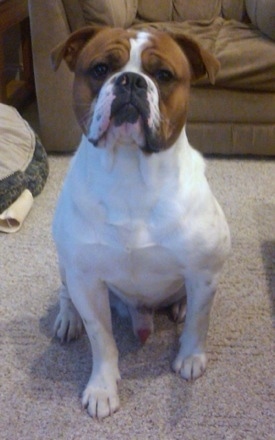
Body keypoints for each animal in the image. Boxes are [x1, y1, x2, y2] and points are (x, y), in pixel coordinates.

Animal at [51, 26, 231, 420]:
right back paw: (68, 318)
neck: (131, 172)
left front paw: (190, 357)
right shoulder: (87, 281)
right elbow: (101, 339)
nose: (131, 81)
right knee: (66, 293)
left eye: (163, 75)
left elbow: (199, 321)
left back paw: (179, 306)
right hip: (65, 264)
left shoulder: (203, 272)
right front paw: (102, 387)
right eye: (100, 68)